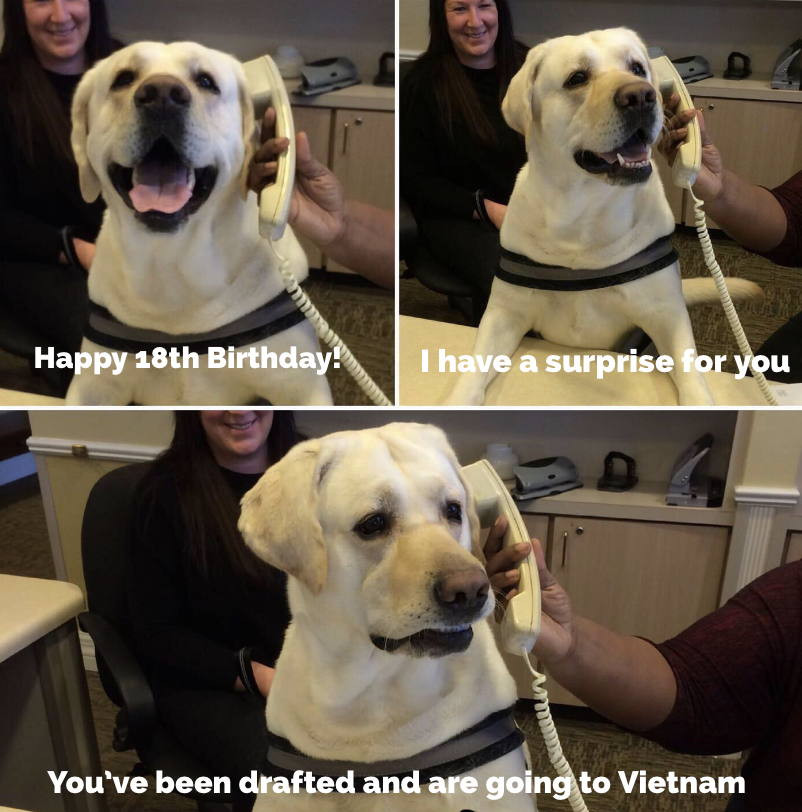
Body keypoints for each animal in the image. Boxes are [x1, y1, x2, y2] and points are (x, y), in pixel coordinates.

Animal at [65, 42, 332, 404]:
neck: (171, 260)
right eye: (124, 78)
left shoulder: (302, 387)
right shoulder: (92, 386)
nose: (162, 95)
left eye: (206, 82)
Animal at [446, 28, 760, 406]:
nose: (641, 96)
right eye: (577, 78)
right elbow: (474, 367)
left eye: (638, 68)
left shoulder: (667, 315)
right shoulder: (504, 313)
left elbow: (690, 371)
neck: (584, 214)